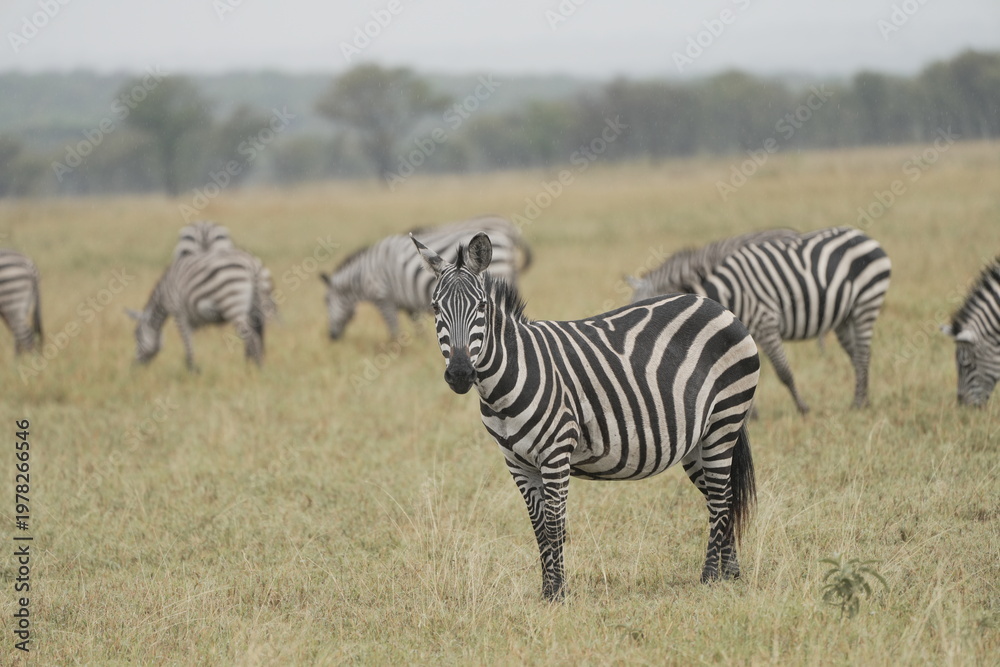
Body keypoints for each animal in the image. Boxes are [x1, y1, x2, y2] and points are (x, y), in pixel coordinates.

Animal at [127, 248, 273, 370]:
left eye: (137, 335)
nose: (134, 366)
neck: (163, 293)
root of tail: (252, 265)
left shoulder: (178, 313)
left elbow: (187, 344)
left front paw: (191, 372)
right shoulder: (193, 319)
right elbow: (190, 342)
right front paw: (194, 369)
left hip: (232, 304)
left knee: (252, 338)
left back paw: (256, 368)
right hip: (253, 309)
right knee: (256, 337)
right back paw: (250, 367)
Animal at [320, 215, 531, 340]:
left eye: (327, 300)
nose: (331, 336)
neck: (364, 273)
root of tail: (508, 237)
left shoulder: (384, 298)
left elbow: (393, 329)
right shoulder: (409, 305)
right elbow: (417, 328)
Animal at [411, 232, 760, 601]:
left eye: (480, 307)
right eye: (435, 308)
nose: (460, 374)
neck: (504, 384)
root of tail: (717, 307)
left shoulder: (555, 453)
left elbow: (554, 524)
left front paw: (557, 593)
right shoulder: (516, 462)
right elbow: (538, 526)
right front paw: (548, 590)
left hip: (724, 421)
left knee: (721, 498)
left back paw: (709, 577)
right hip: (697, 441)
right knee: (722, 497)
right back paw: (730, 573)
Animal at [628, 227, 892, 414]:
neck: (730, 294)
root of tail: (861, 234)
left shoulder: (766, 325)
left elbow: (783, 372)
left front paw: (802, 408)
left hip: (866, 303)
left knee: (863, 354)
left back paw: (858, 403)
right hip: (844, 318)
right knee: (857, 355)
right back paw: (864, 399)